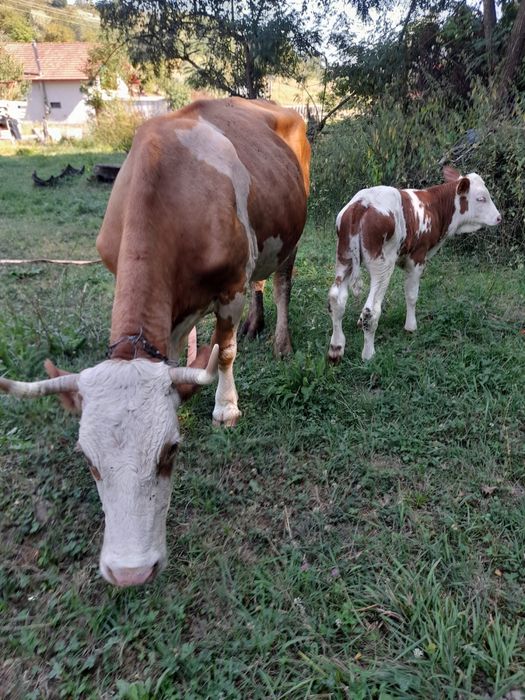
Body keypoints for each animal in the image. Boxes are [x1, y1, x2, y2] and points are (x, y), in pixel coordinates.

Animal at [0, 98, 311, 587]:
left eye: (170, 452)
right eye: (88, 460)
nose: (130, 573)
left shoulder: (230, 286)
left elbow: (224, 353)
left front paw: (226, 407)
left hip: (292, 233)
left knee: (280, 281)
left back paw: (280, 340)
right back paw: (255, 325)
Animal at [328, 166, 501, 362]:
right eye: (481, 198)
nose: (499, 217)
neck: (433, 206)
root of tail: (362, 203)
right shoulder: (418, 257)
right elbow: (411, 295)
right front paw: (411, 327)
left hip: (344, 258)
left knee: (337, 299)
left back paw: (336, 348)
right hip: (382, 265)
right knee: (371, 310)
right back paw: (368, 355)